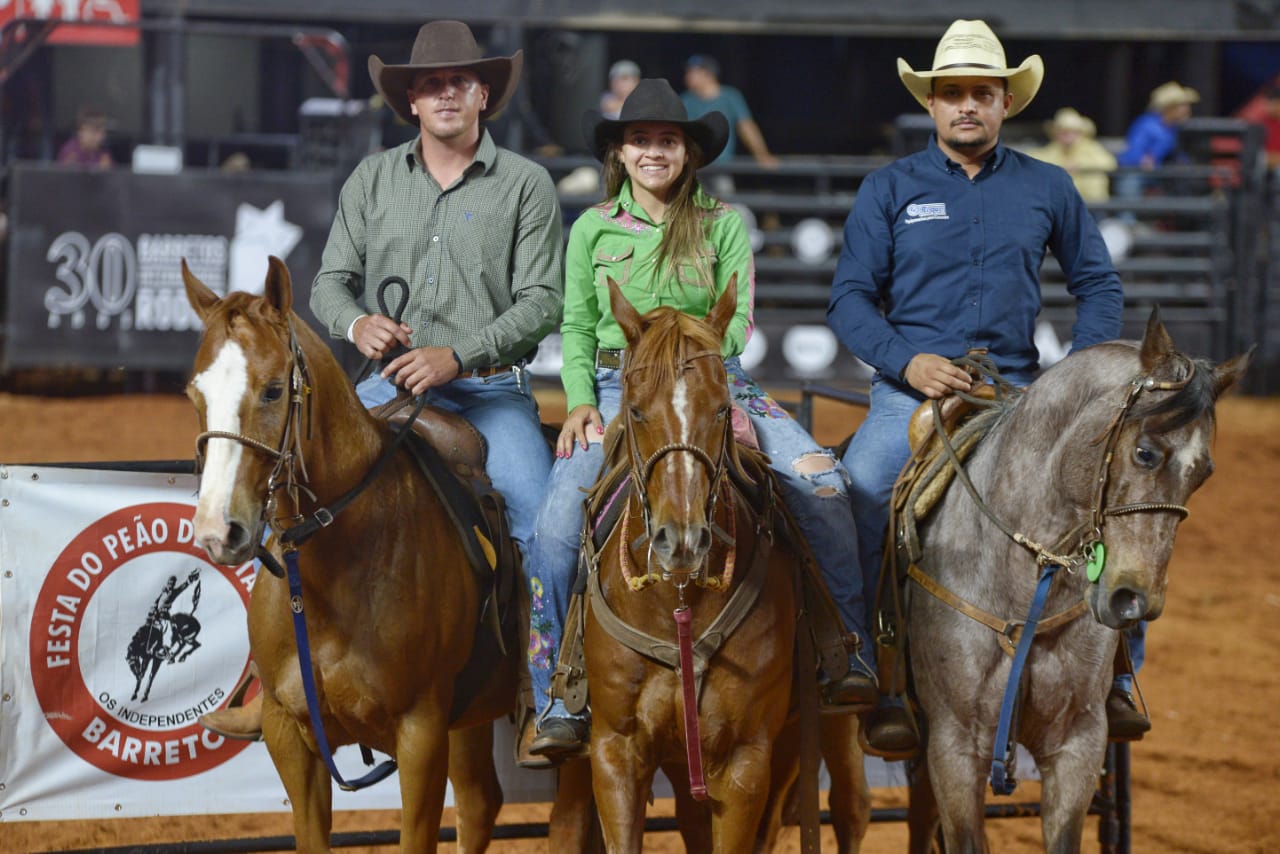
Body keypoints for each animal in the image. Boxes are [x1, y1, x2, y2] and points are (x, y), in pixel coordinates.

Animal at [181, 261, 519, 854]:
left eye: (273, 390)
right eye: (194, 395)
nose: (218, 530)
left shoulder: (421, 734)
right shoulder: (289, 734)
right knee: (482, 803)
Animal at [901, 311, 1249, 850]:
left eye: (1205, 473)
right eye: (1145, 453)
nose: (1134, 600)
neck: (1023, 586)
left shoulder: (1077, 745)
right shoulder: (953, 747)